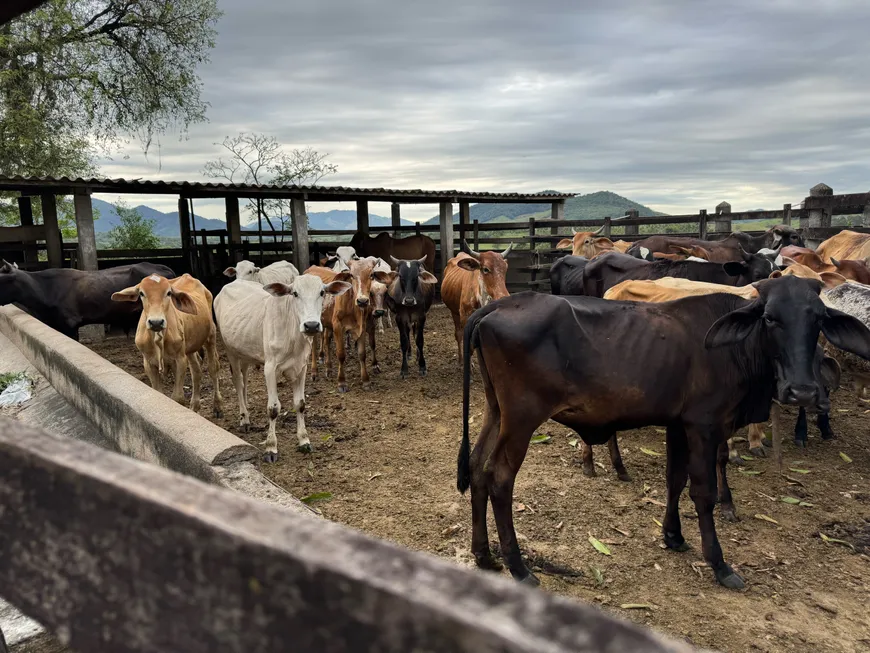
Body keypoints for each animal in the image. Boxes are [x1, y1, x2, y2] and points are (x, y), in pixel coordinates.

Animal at [110, 272, 225, 416]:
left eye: (169, 293)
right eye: (141, 293)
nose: (156, 322)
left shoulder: (180, 360)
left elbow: (178, 398)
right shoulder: (148, 362)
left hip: (211, 336)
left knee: (213, 367)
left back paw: (217, 405)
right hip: (190, 347)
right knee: (196, 370)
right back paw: (195, 405)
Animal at [215, 272, 350, 460]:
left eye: (322, 292)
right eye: (295, 293)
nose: (311, 325)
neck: (292, 337)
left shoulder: (301, 367)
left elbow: (300, 404)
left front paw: (304, 441)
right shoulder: (270, 368)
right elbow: (273, 408)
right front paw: (271, 447)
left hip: (245, 351)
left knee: (244, 378)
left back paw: (247, 410)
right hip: (230, 350)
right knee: (237, 381)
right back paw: (244, 419)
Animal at [456, 278, 870, 588]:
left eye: (818, 320)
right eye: (769, 318)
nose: (802, 391)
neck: (736, 349)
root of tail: (497, 306)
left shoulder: (678, 424)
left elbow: (675, 479)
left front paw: (673, 536)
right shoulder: (704, 425)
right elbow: (703, 492)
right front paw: (720, 564)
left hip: (497, 411)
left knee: (476, 466)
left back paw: (484, 555)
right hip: (522, 418)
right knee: (499, 477)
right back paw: (518, 566)